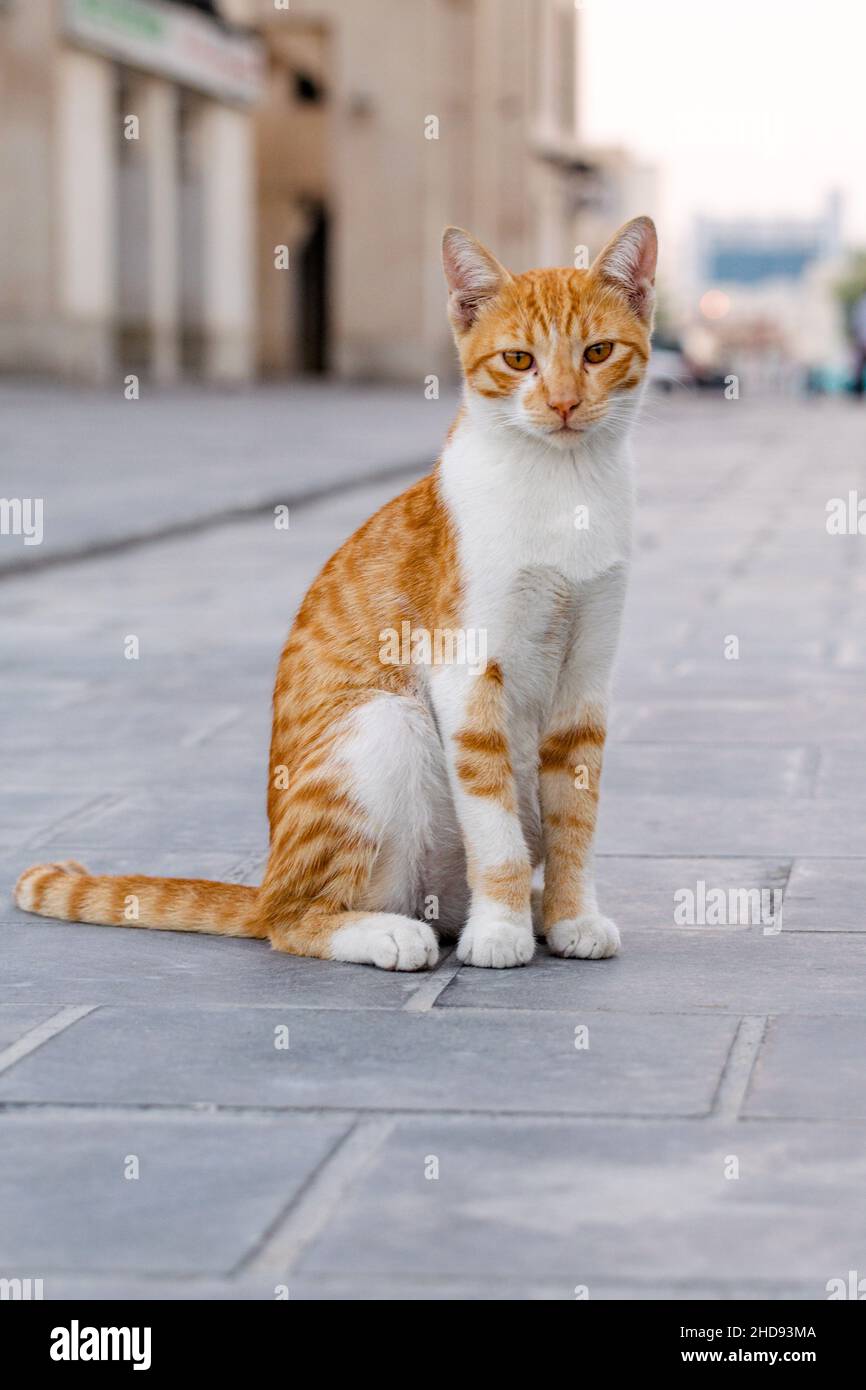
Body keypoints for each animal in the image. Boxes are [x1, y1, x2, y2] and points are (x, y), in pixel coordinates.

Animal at [16, 219, 656, 978]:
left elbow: (575, 820)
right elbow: (493, 820)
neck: (565, 490)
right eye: (519, 359)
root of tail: (266, 877)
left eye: (597, 352)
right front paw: (501, 931)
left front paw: (571, 916)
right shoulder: (466, 671)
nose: (561, 403)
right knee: (292, 919)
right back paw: (392, 932)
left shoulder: (587, 680)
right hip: (386, 722)